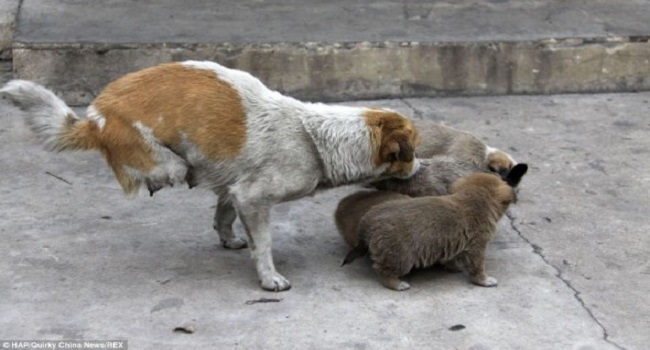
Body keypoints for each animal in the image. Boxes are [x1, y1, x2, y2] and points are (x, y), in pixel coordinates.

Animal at [1, 60, 420, 292]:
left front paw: (228, 239)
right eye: (412, 151)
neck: (312, 137)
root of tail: (94, 119)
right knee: (168, 170)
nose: (421, 167)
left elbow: (223, 214)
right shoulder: (254, 197)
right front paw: (269, 279)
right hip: (164, 160)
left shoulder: (234, 188)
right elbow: (264, 245)